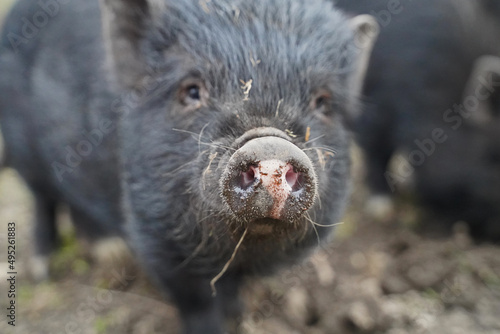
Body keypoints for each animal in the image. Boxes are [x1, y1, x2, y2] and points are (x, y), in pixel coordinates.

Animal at [0, 0, 376, 332]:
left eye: (323, 102)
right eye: (192, 91)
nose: (271, 145)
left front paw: (238, 316)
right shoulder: (153, 235)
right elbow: (195, 302)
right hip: (23, 149)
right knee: (43, 199)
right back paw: (43, 270)